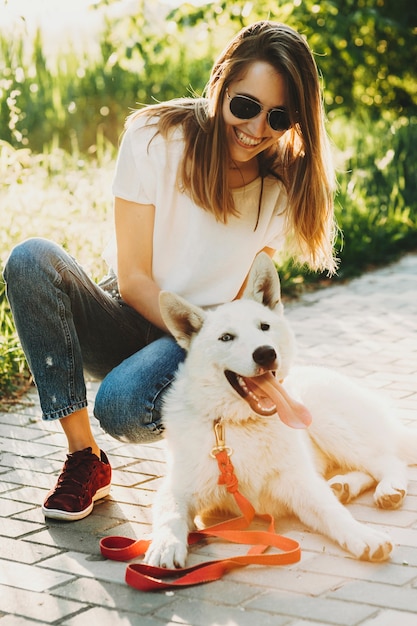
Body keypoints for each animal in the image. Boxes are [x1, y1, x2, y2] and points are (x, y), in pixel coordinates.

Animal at [144, 251, 416, 568]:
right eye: (226, 338)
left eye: (264, 327)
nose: (265, 353)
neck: (242, 424)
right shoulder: (178, 487)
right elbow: (170, 513)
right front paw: (166, 544)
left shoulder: (300, 484)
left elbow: (333, 513)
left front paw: (363, 536)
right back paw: (344, 485)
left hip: (329, 422)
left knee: (388, 461)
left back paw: (387, 488)